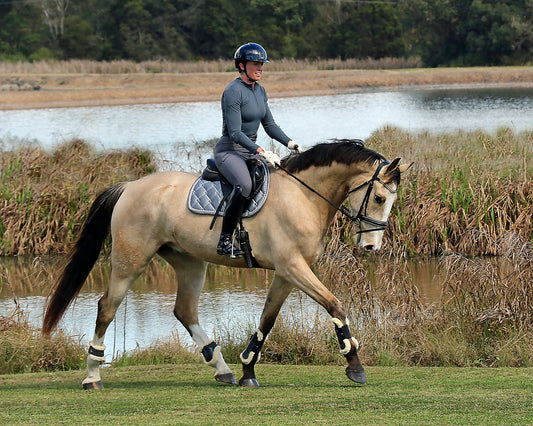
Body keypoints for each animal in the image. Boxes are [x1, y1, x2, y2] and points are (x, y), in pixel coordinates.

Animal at [43, 140, 414, 390]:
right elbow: (335, 306)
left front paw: (248, 369)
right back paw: (92, 374)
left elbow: (267, 321)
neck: (303, 196)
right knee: (107, 306)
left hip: (190, 263)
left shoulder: (286, 273)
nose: (371, 247)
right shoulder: (294, 268)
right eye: (379, 197)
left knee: (184, 311)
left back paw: (222, 368)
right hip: (130, 261)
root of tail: (130, 186)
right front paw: (354, 364)